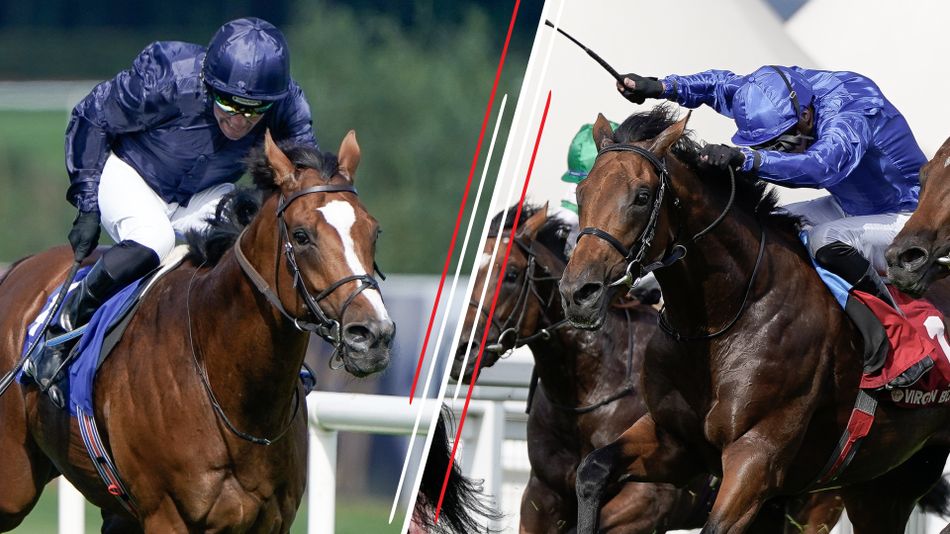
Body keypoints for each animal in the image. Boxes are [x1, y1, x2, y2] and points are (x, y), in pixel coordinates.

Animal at [0, 131, 394, 532]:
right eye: (301, 236)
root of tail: (19, 268)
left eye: (374, 231)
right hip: (13, 486)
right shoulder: (166, 514)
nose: (372, 335)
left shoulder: (274, 519)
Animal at [453, 202, 846, 532]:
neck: (591, 389)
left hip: (813, 503)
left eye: (512, 274)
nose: (462, 350)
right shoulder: (541, 496)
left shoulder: (648, 502)